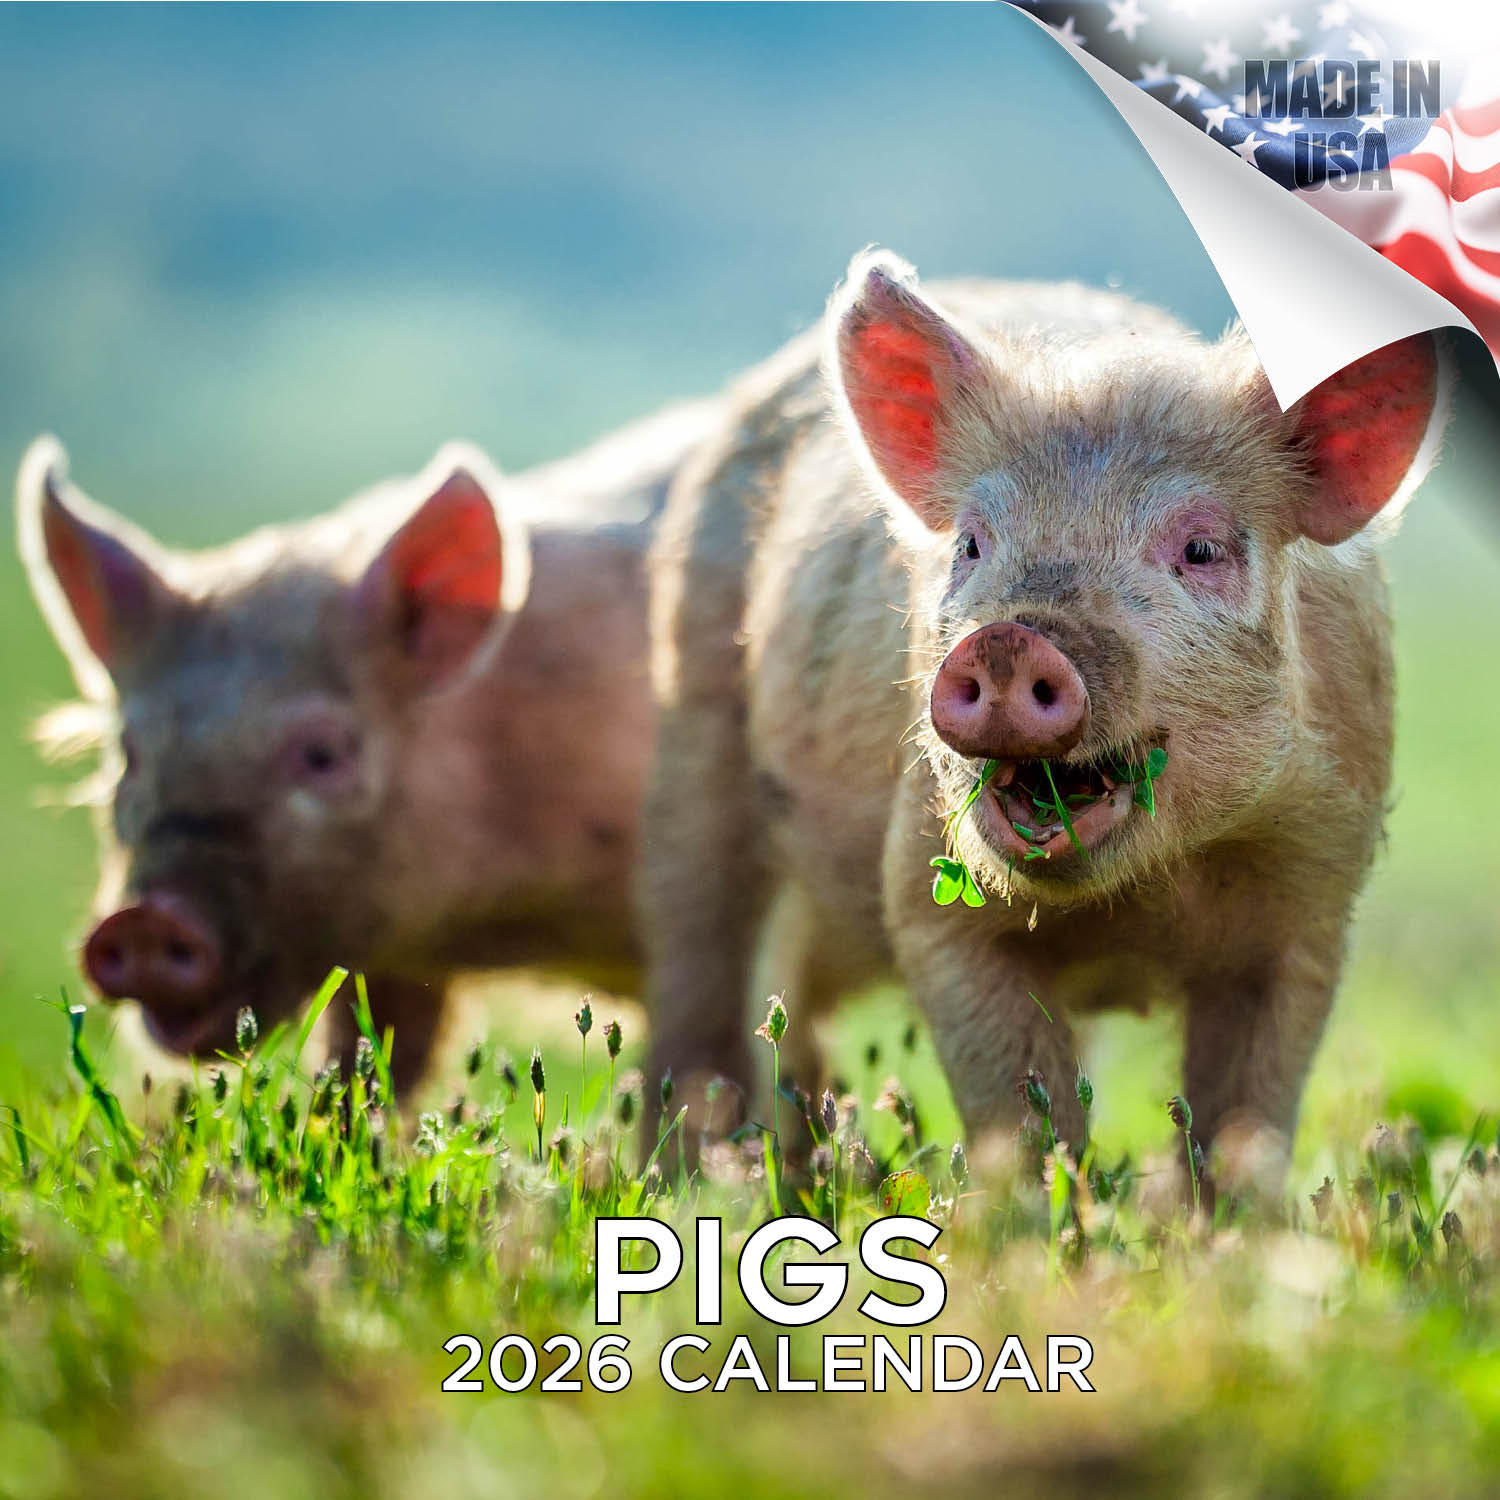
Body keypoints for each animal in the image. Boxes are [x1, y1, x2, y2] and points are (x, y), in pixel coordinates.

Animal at [643, 250, 1446, 1174]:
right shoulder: (930, 899)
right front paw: (1037, 1204)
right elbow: (1021, 1112)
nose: (1009, 639)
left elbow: (1244, 1120)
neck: (1134, 907)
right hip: (693, 730)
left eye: (1201, 548)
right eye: (972, 544)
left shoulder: (1313, 901)